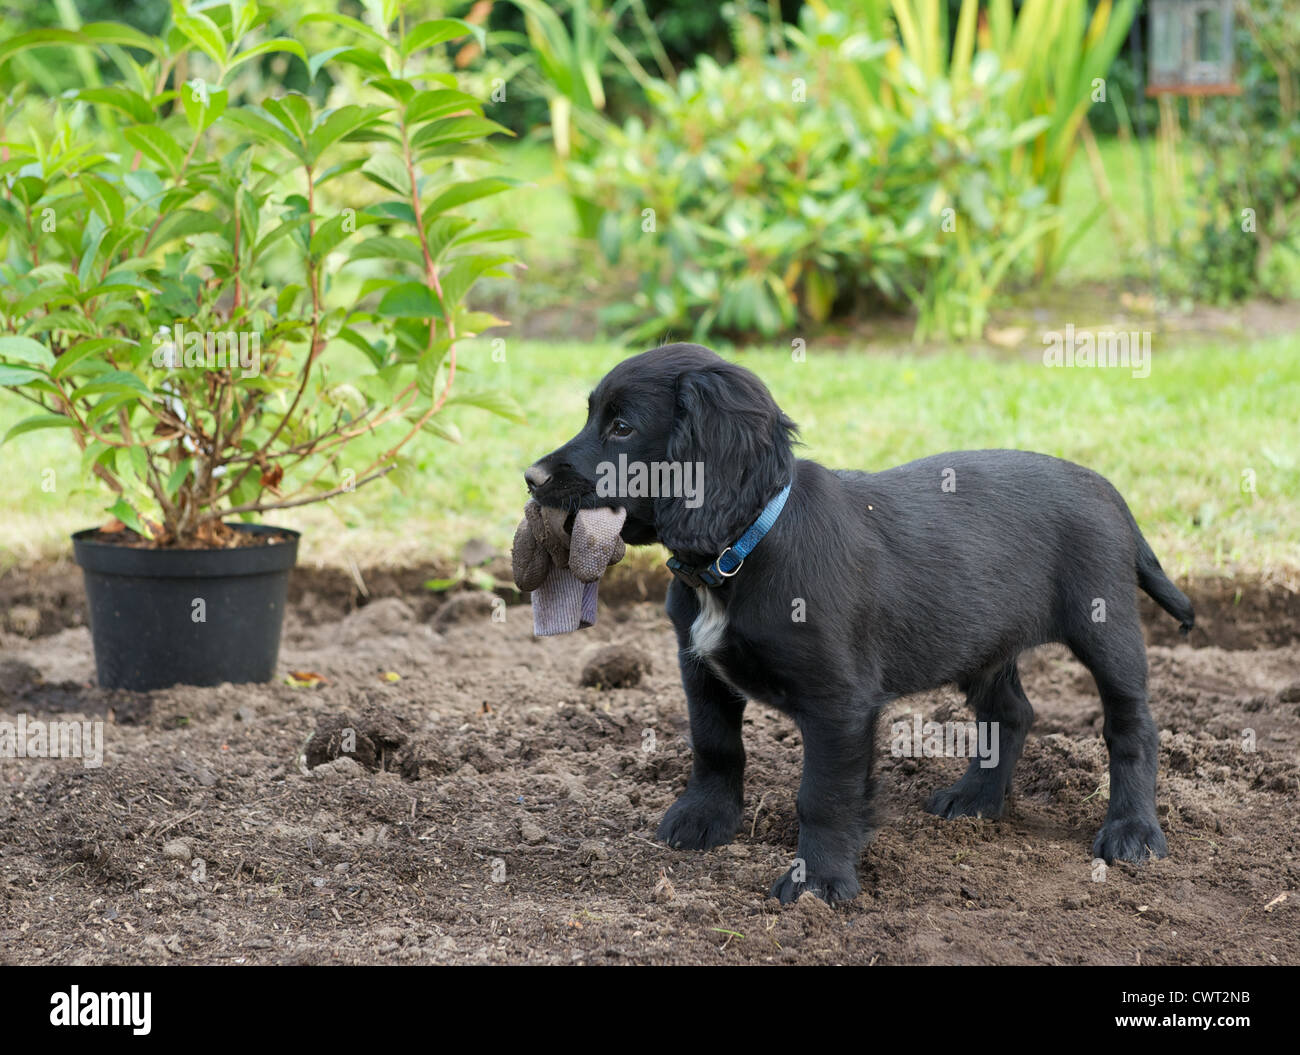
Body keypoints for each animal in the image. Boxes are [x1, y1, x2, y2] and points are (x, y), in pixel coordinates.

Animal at [522, 343, 1190, 904]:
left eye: (623, 428)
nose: (530, 477)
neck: (743, 549)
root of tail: (1107, 489)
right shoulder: (699, 669)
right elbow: (715, 746)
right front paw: (703, 820)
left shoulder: (839, 703)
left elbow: (822, 796)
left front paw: (817, 884)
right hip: (980, 641)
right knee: (1012, 713)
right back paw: (976, 799)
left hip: (1104, 628)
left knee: (1132, 727)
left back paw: (1132, 832)